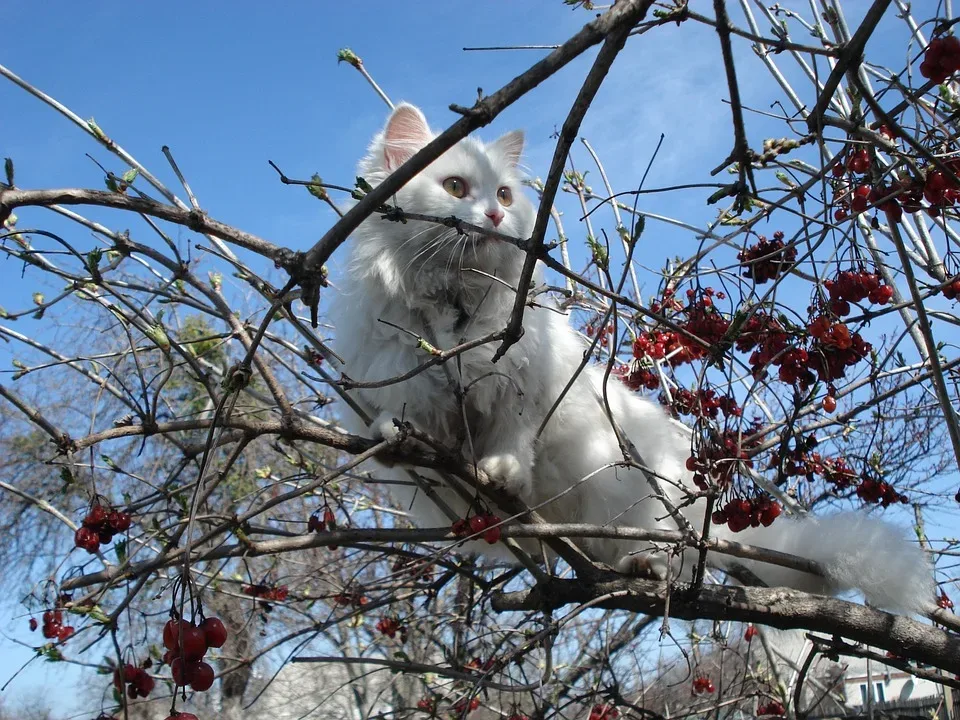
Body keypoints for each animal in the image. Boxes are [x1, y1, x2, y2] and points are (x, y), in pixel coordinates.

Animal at [326, 104, 932, 616]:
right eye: (454, 187)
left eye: (503, 193)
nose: (495, 215)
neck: (455, 303)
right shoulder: (403, 382)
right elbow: (411, 425)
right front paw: (395, 435)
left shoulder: (523, 390)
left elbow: (510, 443)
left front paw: (503, 472)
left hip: (631, 492)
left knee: (668, 557)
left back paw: (642, 563)